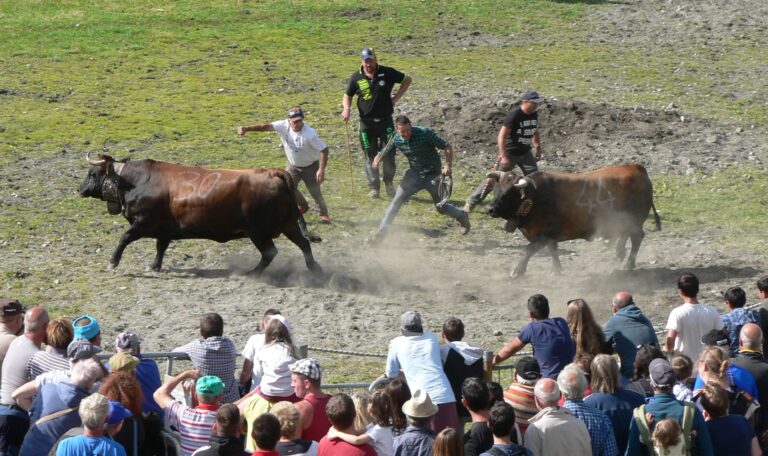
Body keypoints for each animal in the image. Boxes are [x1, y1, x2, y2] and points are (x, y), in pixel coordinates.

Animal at [82, 153, 322, 274]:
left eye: (92, 173)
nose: (80, 189)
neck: (135, 181)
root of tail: (272, 172)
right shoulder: (164, 229)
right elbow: (161, 247)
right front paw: (155, 266)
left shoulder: (143, 223)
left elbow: (124, 238)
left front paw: (113, 262)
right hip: (288, 224)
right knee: (303, 243)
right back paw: (314, 268)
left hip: (258, 231)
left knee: (270, 253)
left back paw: (252, 273)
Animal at [488, 164, 656, 278]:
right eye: (496, 189)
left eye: (508, 194)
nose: (489, 209)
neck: (535, 196)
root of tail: (634, 167)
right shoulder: (549, 236)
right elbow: (553, 250)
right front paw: (556, 270)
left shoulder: (543, 235)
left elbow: (529, 250)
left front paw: (518, 271)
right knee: (626, 235)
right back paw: (620, 252)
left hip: (635, 221)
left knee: (636, 238)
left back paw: (629, 264)